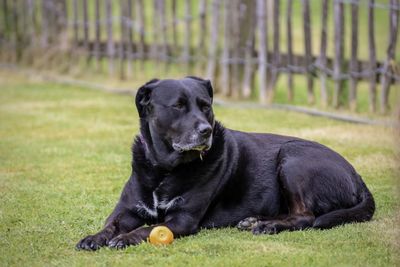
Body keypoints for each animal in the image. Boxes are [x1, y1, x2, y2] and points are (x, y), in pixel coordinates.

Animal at [76, 77, 376, 251]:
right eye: (178, 106)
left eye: (205, 105)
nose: (205, 130)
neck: (164, 169)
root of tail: (357, 176)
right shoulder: (127, 210)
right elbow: (111, 224)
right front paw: (94, 237)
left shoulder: (182, 219)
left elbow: (147, 229)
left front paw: (126, 238)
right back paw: (255, 220)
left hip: (292, 158)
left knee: (305, 216)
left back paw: (267, 226)